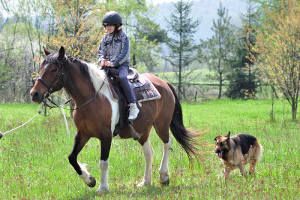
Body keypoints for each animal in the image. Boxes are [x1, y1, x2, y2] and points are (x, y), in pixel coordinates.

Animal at [29, 46, 200, 194]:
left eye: (54, 69)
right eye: (41, 67)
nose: (34, 94)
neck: (93, 97)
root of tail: (164, 84)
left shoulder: (106, 136)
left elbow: (103, 163)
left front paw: (102, 188)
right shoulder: (83, 134)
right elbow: (71, 158)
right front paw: (90, 180)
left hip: (162, 124)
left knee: (167, 143)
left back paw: (164, 177)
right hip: (142, 131)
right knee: (148, 152)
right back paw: (145, 182)